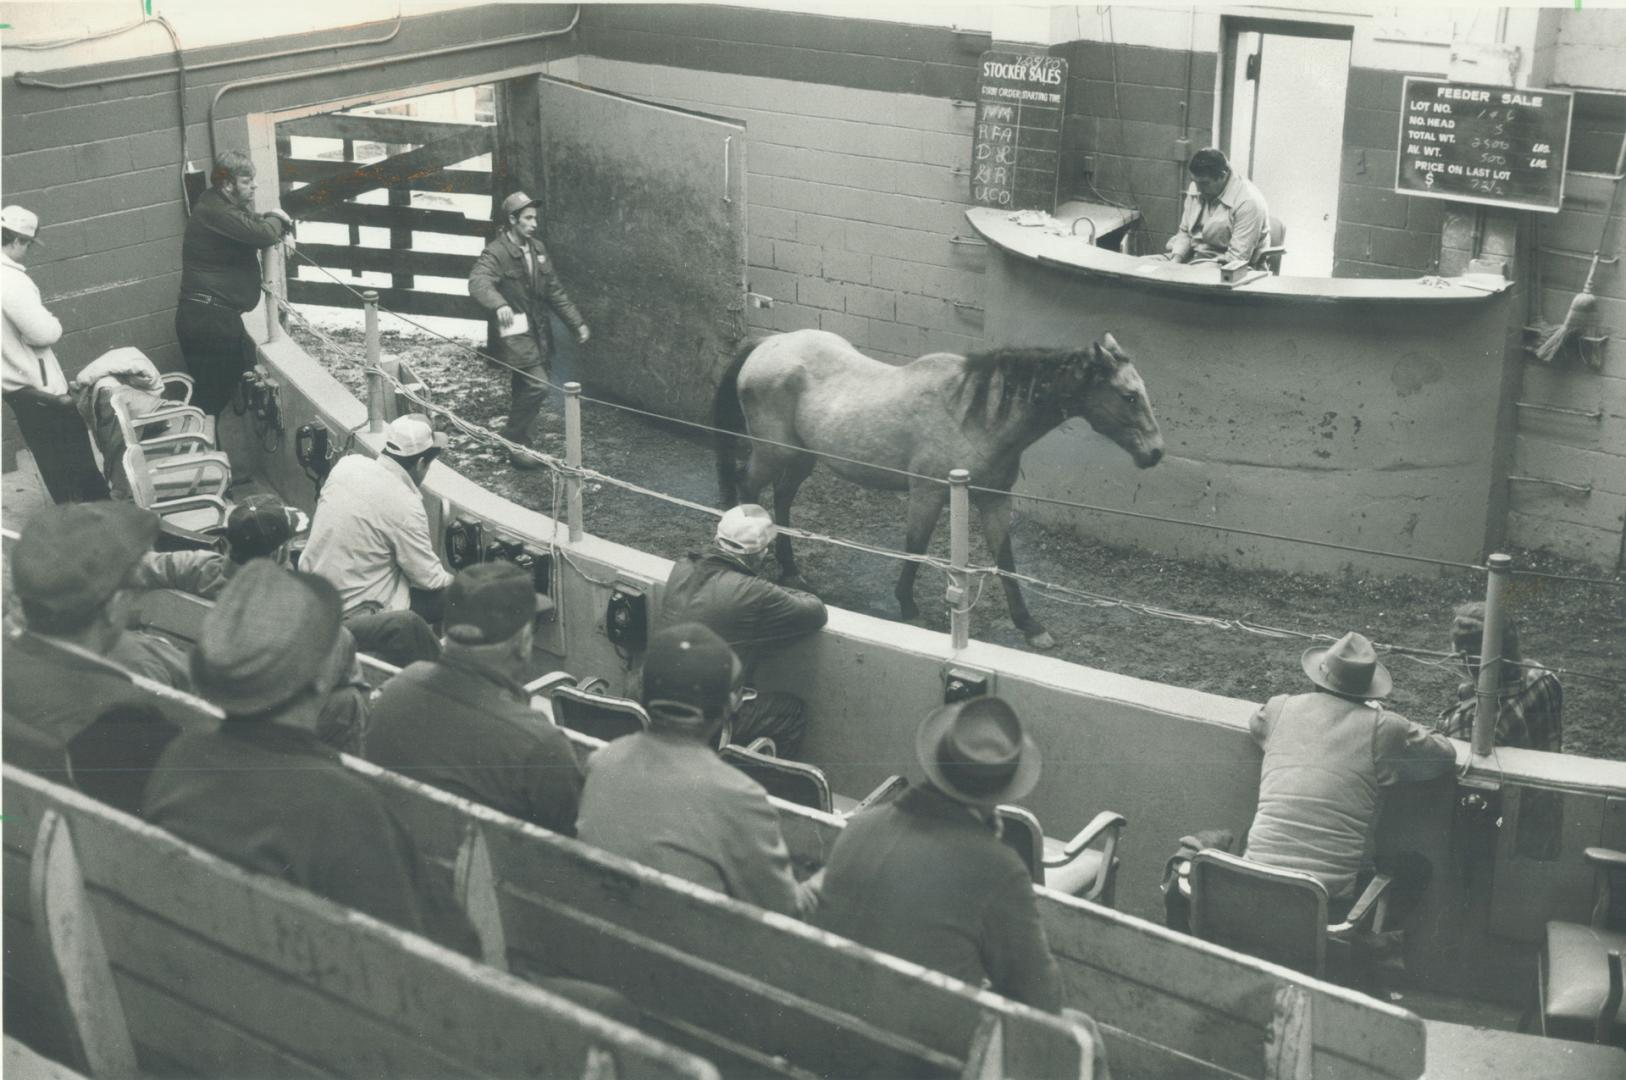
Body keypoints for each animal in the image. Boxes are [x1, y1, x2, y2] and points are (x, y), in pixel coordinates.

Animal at [708, 326, 1157, 650]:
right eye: (1129, 396)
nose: (1155, 452)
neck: (975, 415)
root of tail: (767, 344)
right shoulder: (928, 493)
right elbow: (916, 547)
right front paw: (908, 607)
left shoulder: (995, 500)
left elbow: (1005, 561)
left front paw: (1031, 626)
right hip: (774, 454)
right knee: (747, 490)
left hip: (802, 459)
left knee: (782, 499)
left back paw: (792, 571)